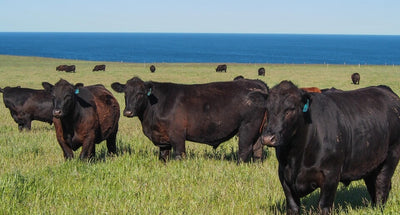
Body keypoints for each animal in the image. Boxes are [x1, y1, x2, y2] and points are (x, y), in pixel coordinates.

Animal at [111, 76, 268, 162]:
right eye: (125, 93)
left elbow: (179, 154)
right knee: (257, 149)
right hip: (257, 130)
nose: (128, 111)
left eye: (140, 93)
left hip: (247, 127)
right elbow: (163, 156)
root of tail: (256, 83)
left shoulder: (177, 135)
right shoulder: (163, 138)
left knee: (244, 149)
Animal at [258, 80, 400, 213]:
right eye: (267, 109)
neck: (296, 156)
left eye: (290, 109)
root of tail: (385, 90)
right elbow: (293, 207)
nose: (268, 138)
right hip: (370, 163)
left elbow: (324, 206)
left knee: (381, 184)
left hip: (391, 155)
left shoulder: (331, 176)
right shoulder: (284, 175)